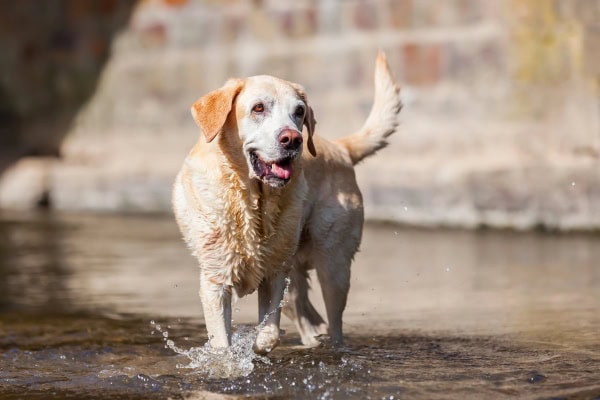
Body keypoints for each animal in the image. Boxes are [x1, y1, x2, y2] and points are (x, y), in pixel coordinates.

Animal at [171, 50, 400, 354]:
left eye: (299, 111)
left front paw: (257, 348)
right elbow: (223, 345)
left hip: (332, 263)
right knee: (309, 316)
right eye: (258, 108)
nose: (293, 139)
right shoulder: (215, 281)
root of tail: (340, 148)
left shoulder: (274, 274)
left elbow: (269, 335)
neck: (252, 199)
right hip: (296, 277)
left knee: (334, 323)